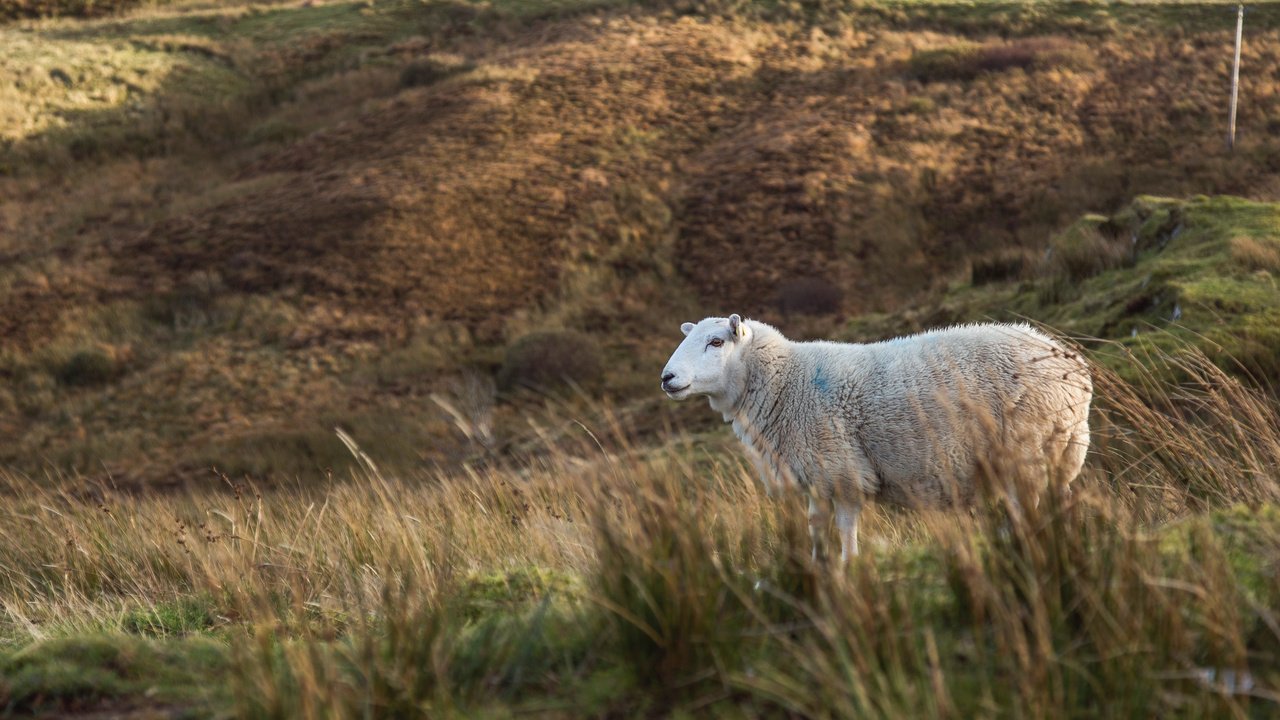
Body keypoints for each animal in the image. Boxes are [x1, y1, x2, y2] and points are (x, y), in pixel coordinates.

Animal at [660, 313, 1090, 561]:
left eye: (716, 342)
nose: (667, 378)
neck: (785, 381)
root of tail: (1070, 362)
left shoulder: (842, 469)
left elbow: (846, 530)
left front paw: (849, 571)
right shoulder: (817, 475)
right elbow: (816, 527)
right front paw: (819, 569)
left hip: (1027, 447)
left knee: (1027, 508)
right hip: (1062, 449)